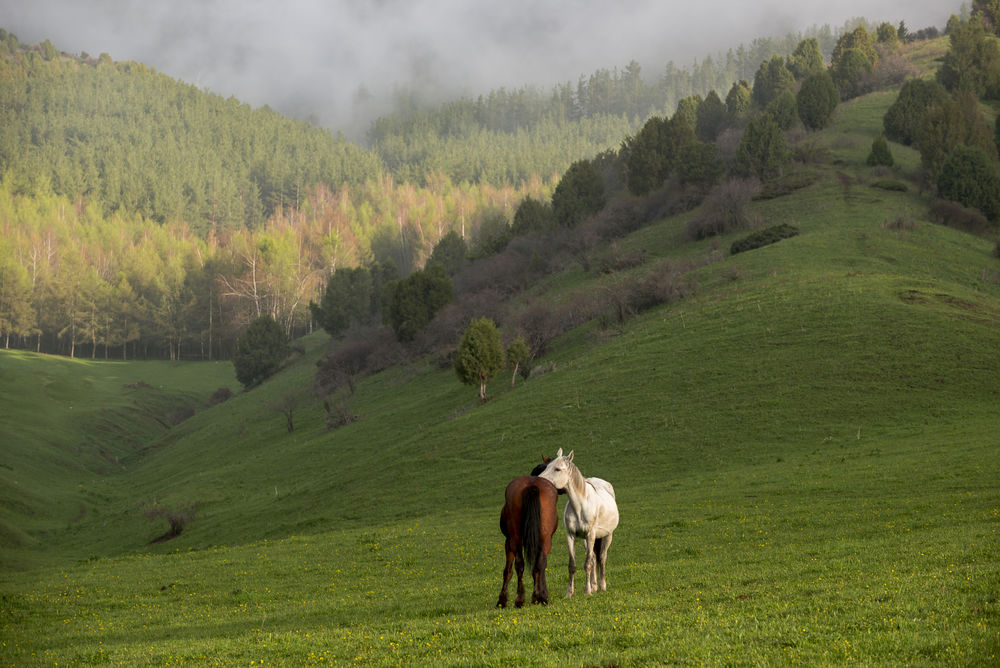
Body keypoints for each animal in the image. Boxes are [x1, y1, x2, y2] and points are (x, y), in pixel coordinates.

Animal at [497, 472, 559, 608]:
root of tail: (532, 485)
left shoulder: (508, 542)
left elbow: (508, 571)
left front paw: (502, 600)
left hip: (515, 539)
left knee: (521, 565)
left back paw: (521, 599)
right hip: (545, 540)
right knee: (539, 564)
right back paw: (540, 597)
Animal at [538, 448, 619, 597]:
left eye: (557, 469)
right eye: (547, 466)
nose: (539, 481)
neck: (580, 505)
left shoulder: (590, 535)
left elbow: (587, 564)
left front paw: (587, 592)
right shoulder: (571, 536)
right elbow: (573, 565)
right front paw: (569, 593)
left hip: (607, 536)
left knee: (602, 558)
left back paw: (602, 586)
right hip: (586, 541)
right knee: (594, 558)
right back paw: (594, 586)